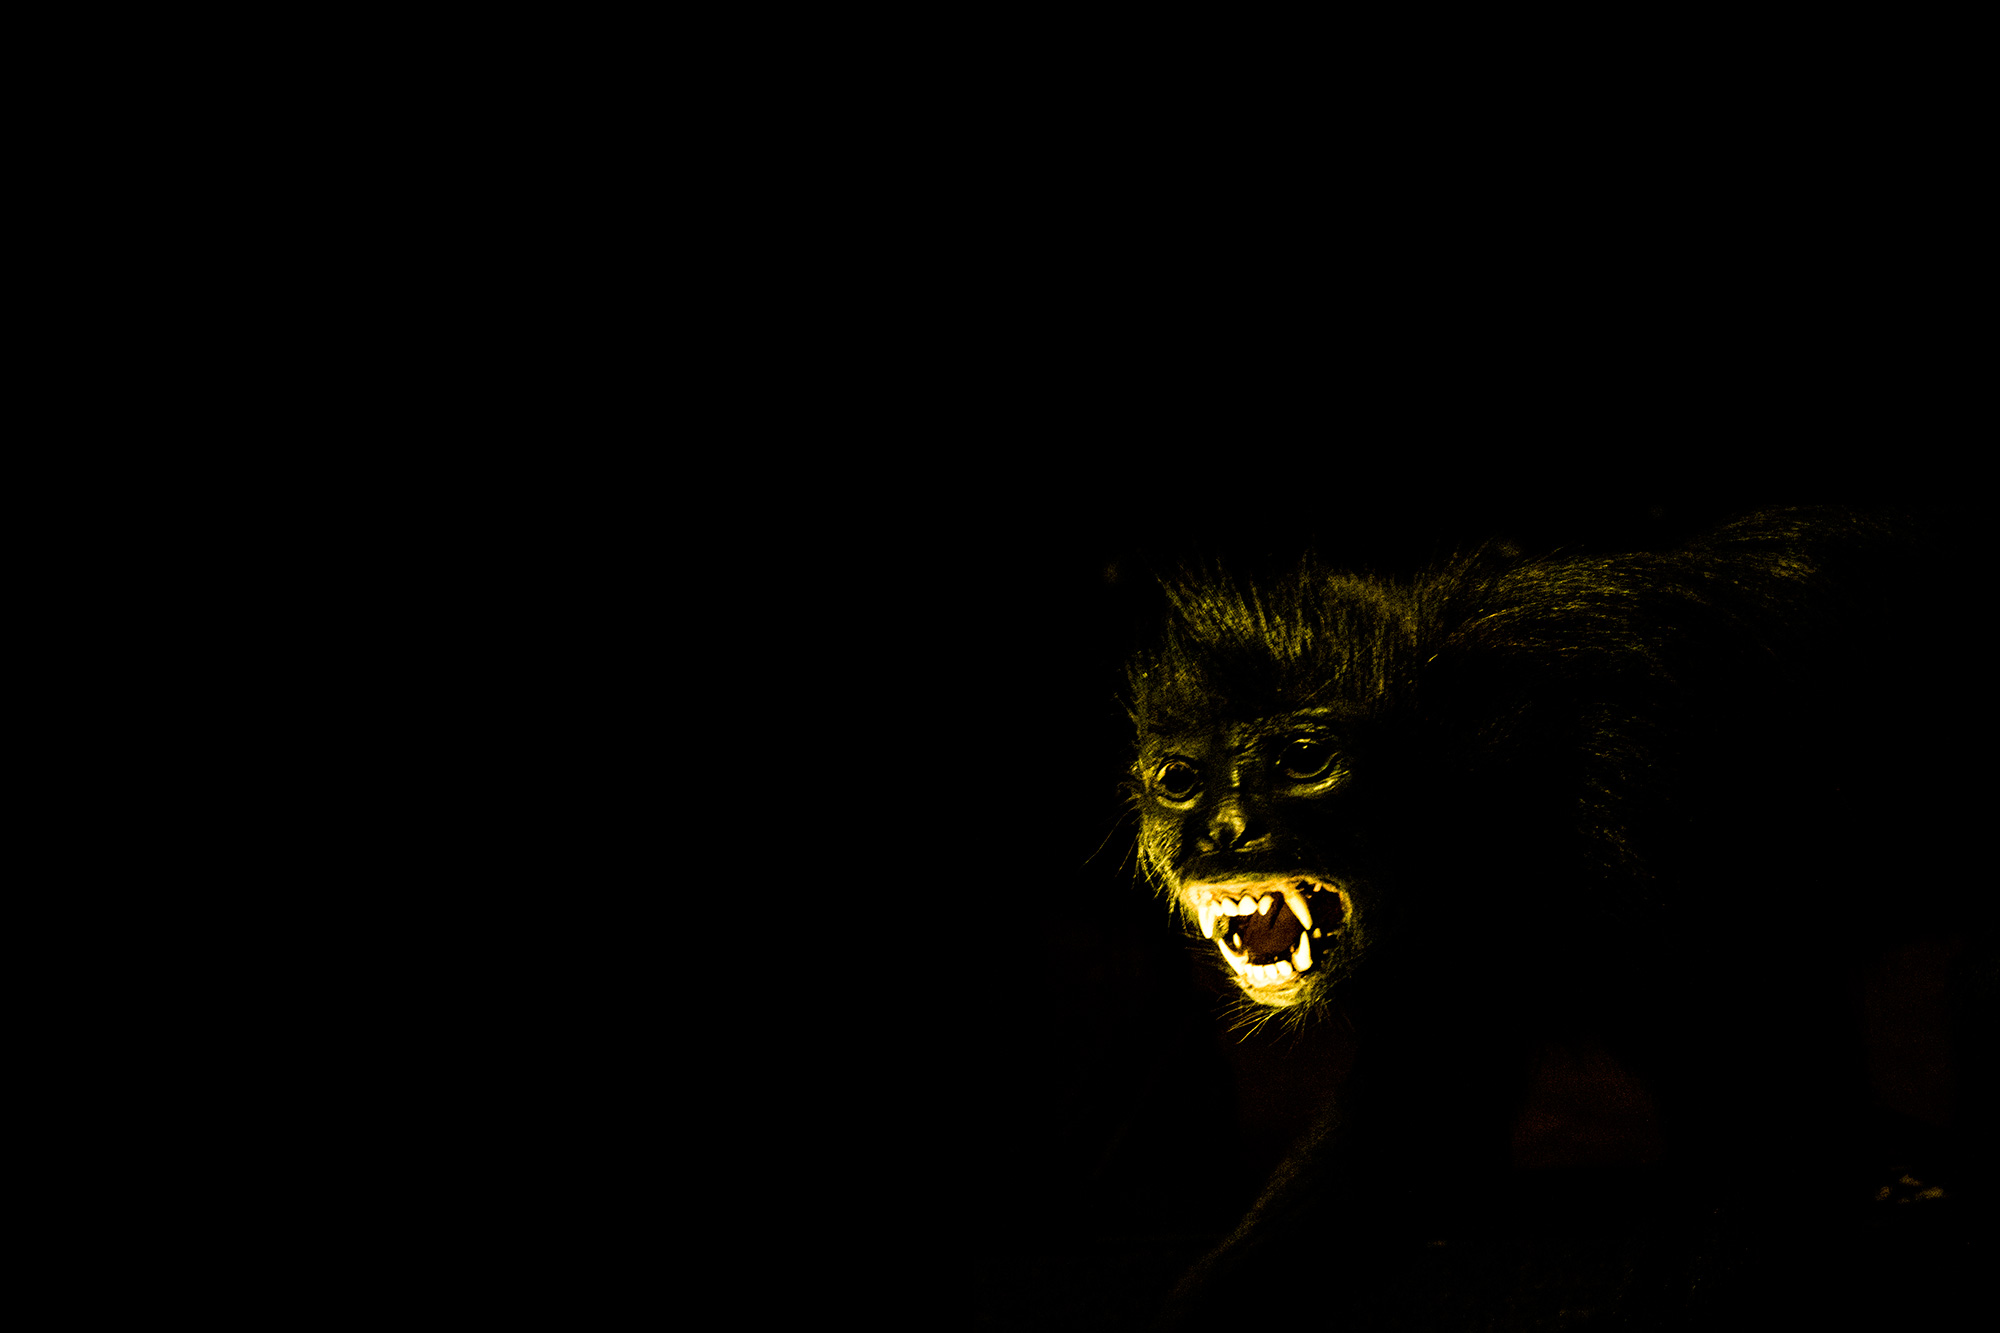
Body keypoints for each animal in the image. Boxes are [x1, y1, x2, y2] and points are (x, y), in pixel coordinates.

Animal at [1125, 509, 1990, 1326]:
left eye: (1304, 760)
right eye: (1180, 779)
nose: (1223, 831)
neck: (1487, 766)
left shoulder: (1638, 794)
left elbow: (1781, 1133)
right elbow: (1413, 1136)